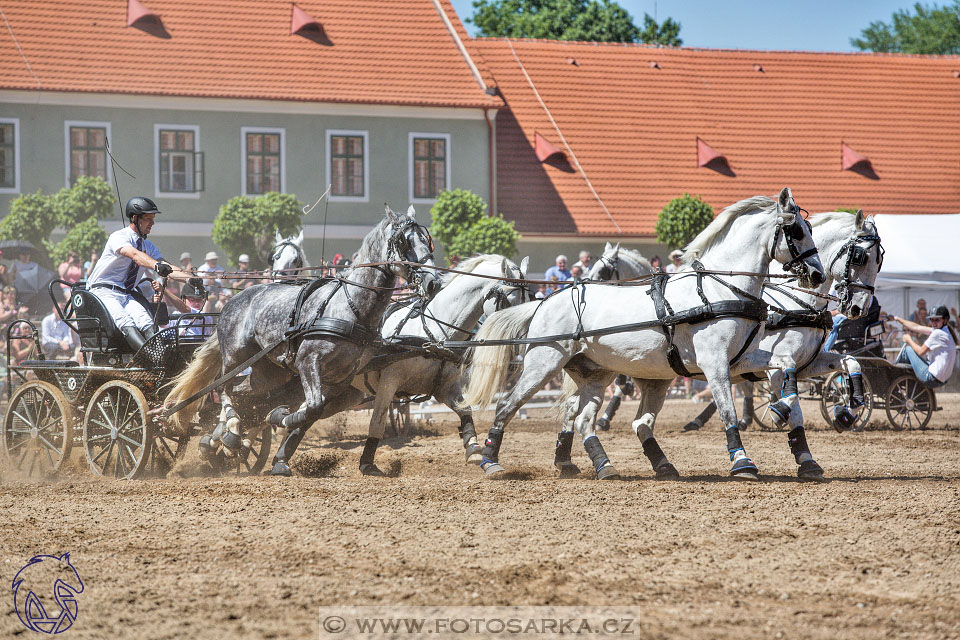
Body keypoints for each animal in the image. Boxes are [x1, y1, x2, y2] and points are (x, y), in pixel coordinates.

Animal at [171, 205, 440, 476]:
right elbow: (312, 408)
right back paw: (232, 431)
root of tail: (233, 301)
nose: (433, 282)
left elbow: (311, 411)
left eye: (427, 241)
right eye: (404, 242)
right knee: (222, 388)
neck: (350, 308)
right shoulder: (307, 361)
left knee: (243, 394)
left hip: (269, 372)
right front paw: (277, 418)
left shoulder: (341, 378)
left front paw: (279, 446)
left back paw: (220, 439)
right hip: (236, 355)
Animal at [350, 255, 532, 476]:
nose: (520, 351)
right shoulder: (388, 383)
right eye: (508, 302)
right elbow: (377, 420)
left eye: (531, 300)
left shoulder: (445, 387)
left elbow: (465, 411)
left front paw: (473, 447)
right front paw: (367, 463)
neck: (436, 337)